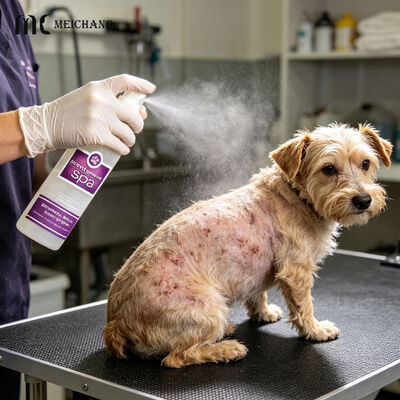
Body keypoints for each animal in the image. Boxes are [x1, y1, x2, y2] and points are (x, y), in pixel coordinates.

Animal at [103, 123, 392, 368]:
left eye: (366, 163)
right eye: (329, 169)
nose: (363, 200)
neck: (297, 196)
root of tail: (115, 325)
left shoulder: (255, 266)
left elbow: (257, 294)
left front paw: (263, 313)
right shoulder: (296, 272)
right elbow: (304, 307)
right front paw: (316, 330)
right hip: (209, 307)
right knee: (176, 357)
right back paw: (227, 349)